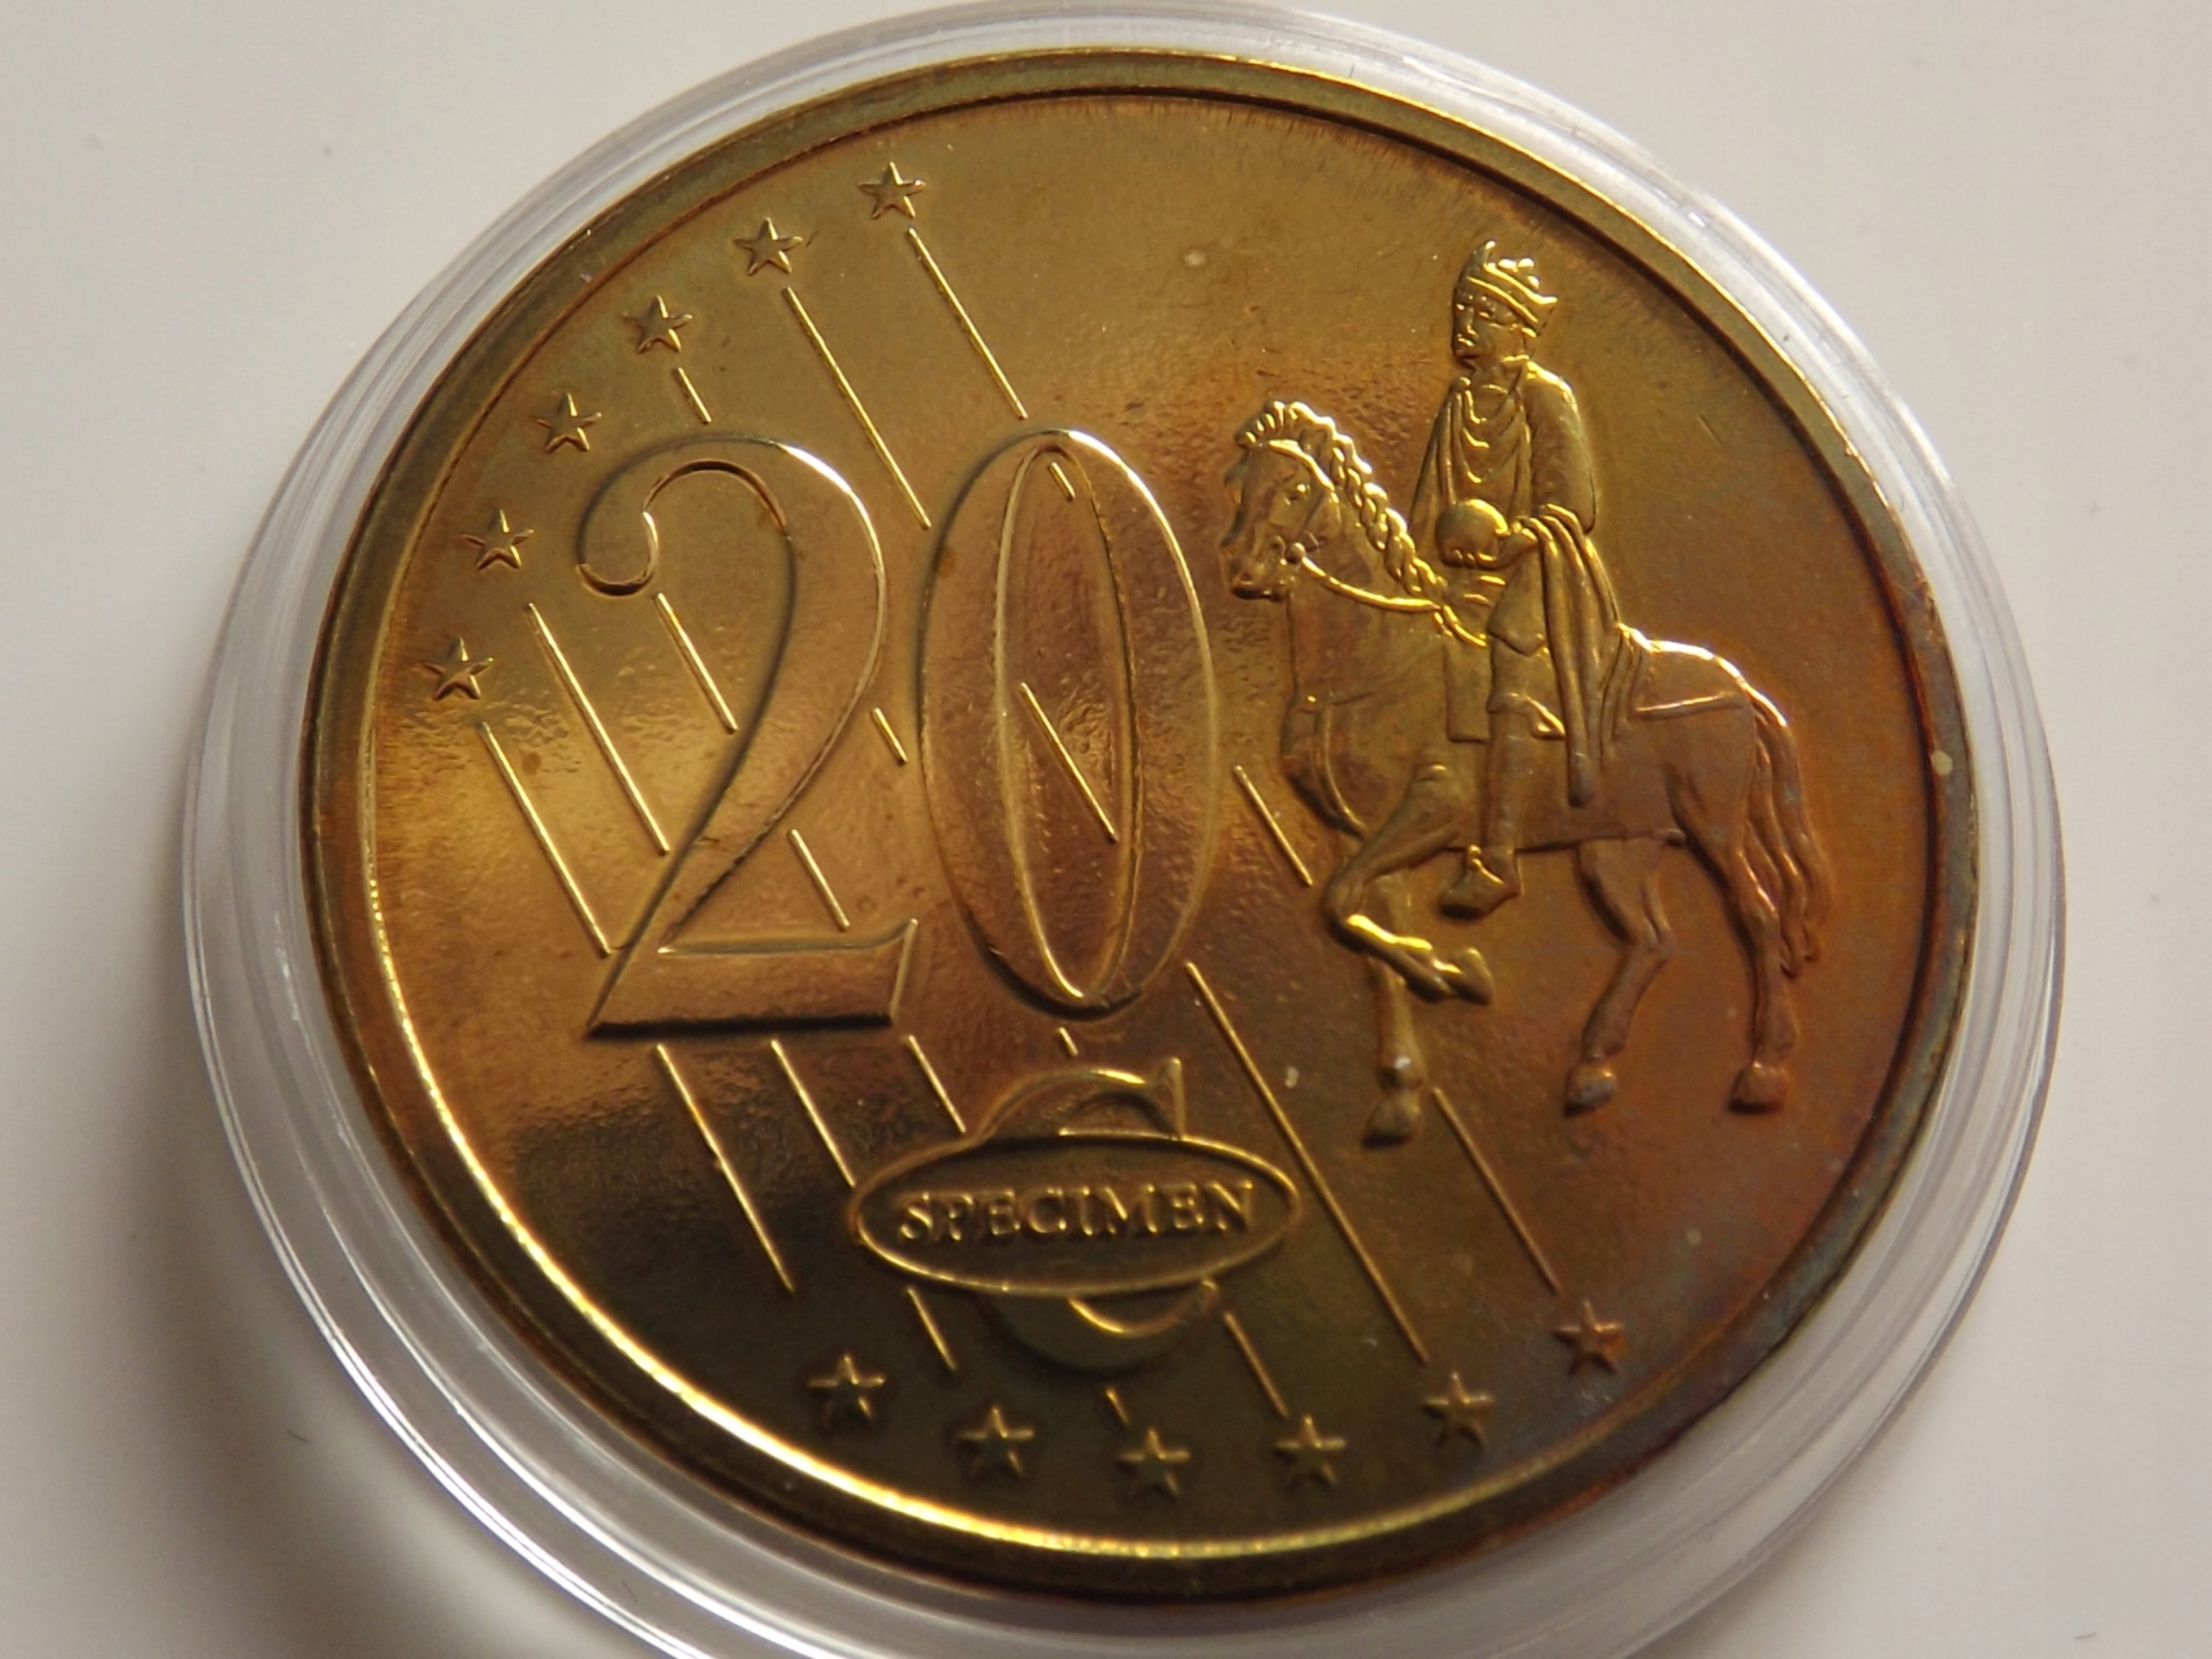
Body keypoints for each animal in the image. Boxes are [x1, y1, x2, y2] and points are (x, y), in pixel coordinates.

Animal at [1218, 400, 1828, 1146]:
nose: (1244, 568)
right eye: (1238, 484)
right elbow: (1353, 923)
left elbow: (1341, 904)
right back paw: (1591, 1068)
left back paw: (1762, 1071)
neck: (1372, 659)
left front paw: (1459, 972)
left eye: (1297, 489)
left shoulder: (1435, 807)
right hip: (1615, 848)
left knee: (1759, 917)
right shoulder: (1358, 835)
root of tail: (1739, 686)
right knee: (1653, 941)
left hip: (1713, 825)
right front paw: (1405, 1078)